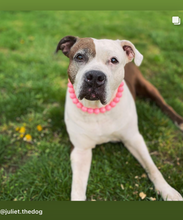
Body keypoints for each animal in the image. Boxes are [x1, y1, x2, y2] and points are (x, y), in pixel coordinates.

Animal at [55, 35, 183, 200]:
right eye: (79, 57)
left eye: (114, 60)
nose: (95, 76)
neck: (98, 109)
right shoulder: (80, 150)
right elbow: (77, 186)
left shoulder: (133, 138)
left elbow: (152, 167)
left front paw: (168, 190)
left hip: (147, 86)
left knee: (164, 105)